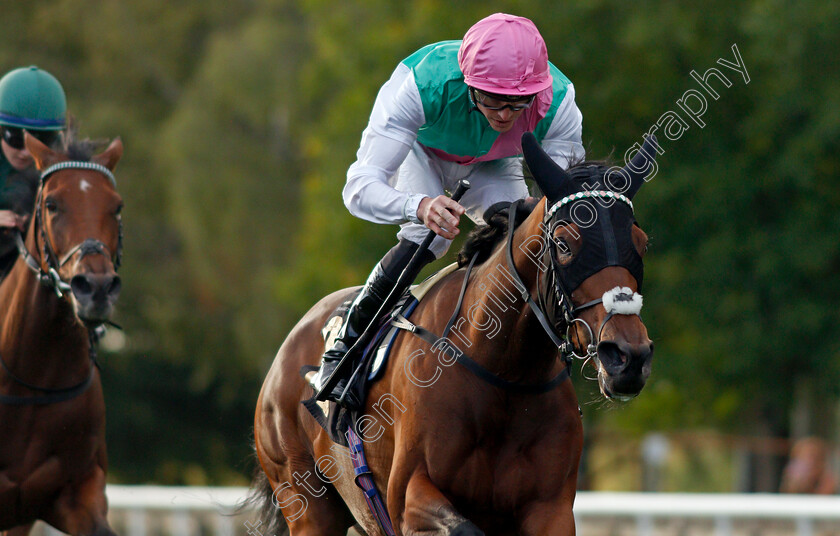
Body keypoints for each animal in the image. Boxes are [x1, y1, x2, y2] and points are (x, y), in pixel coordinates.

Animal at [253, 132, 660, 532]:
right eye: (563, 244)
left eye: (641, 244)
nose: (627, 357)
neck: (503, 374)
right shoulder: (408, 496)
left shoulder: (552, 507)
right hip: (305, 500)